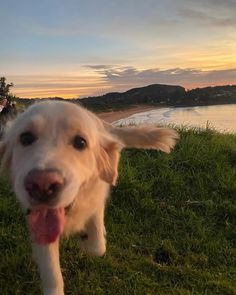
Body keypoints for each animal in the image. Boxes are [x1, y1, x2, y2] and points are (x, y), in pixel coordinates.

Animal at [0, 100, 177, 294]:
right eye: (26, 138)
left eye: (80, 142)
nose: (42, 185)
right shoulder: (38, 224)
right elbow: (51, 273)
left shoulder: (97, 200)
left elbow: (98, 246)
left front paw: (85, 240)